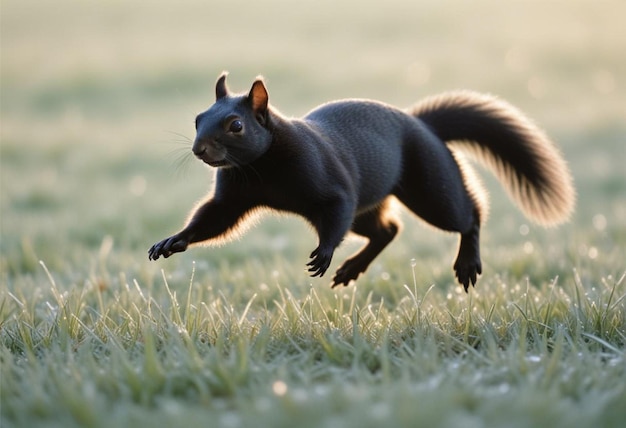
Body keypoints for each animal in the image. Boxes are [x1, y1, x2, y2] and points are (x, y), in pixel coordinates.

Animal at [147, 72, 576, 290]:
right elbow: (213, 220)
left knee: (467, 215)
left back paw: (467, 262)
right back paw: (351, 269)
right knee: (387, 230)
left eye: (236, 125)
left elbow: (336, 210)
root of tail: (423, 126)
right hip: (371, 209)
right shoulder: (233, 197)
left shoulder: (333, 185)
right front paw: (172, 241)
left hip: (430, 185)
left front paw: (322, 255)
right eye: (198, 119)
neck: (261, 167)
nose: (199, 149)